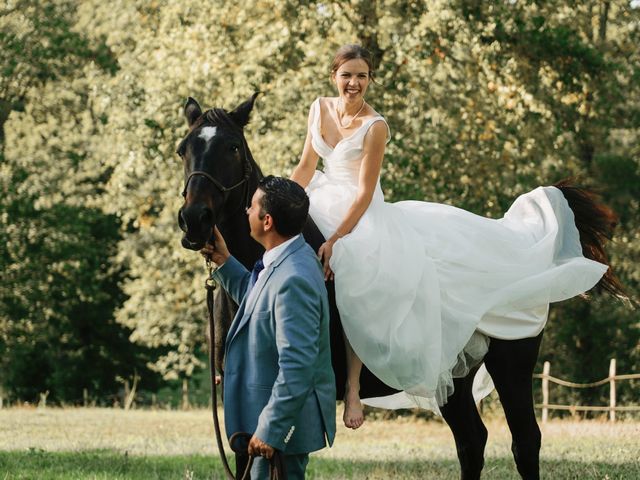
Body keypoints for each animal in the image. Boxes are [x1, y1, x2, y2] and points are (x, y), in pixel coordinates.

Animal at [176, 94, 624, 480]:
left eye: (233, 147)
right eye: (184, 149)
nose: (195, 220)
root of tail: (524, 241)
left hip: (511, 365)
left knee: (525, 442)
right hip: (454, 379)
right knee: (472, 442)